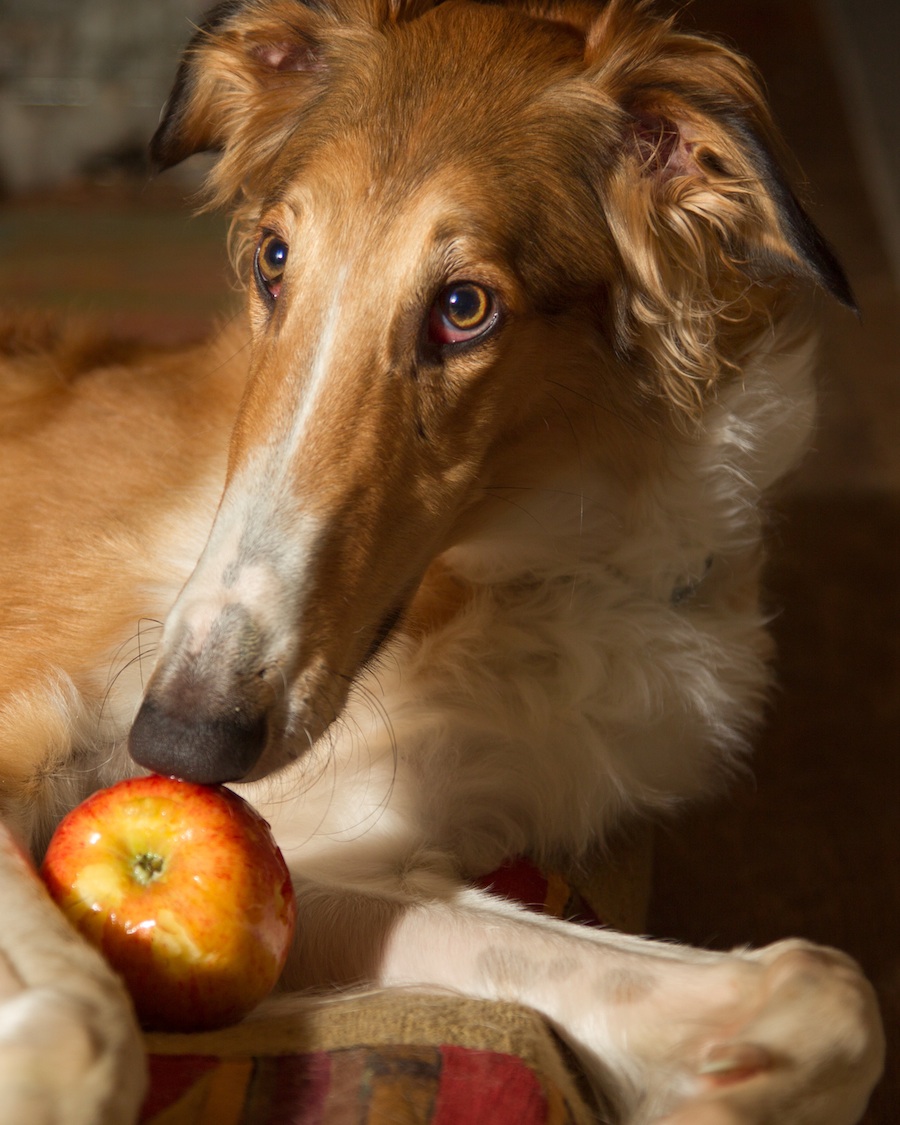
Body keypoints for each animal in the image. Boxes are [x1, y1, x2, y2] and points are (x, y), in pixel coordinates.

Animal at [0, 0, 886, 1120]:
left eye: (465, 307)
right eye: (273, 259)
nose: (180, 741)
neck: (539, 565)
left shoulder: (315, 853)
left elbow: (823, 984)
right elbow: (79, 1030)